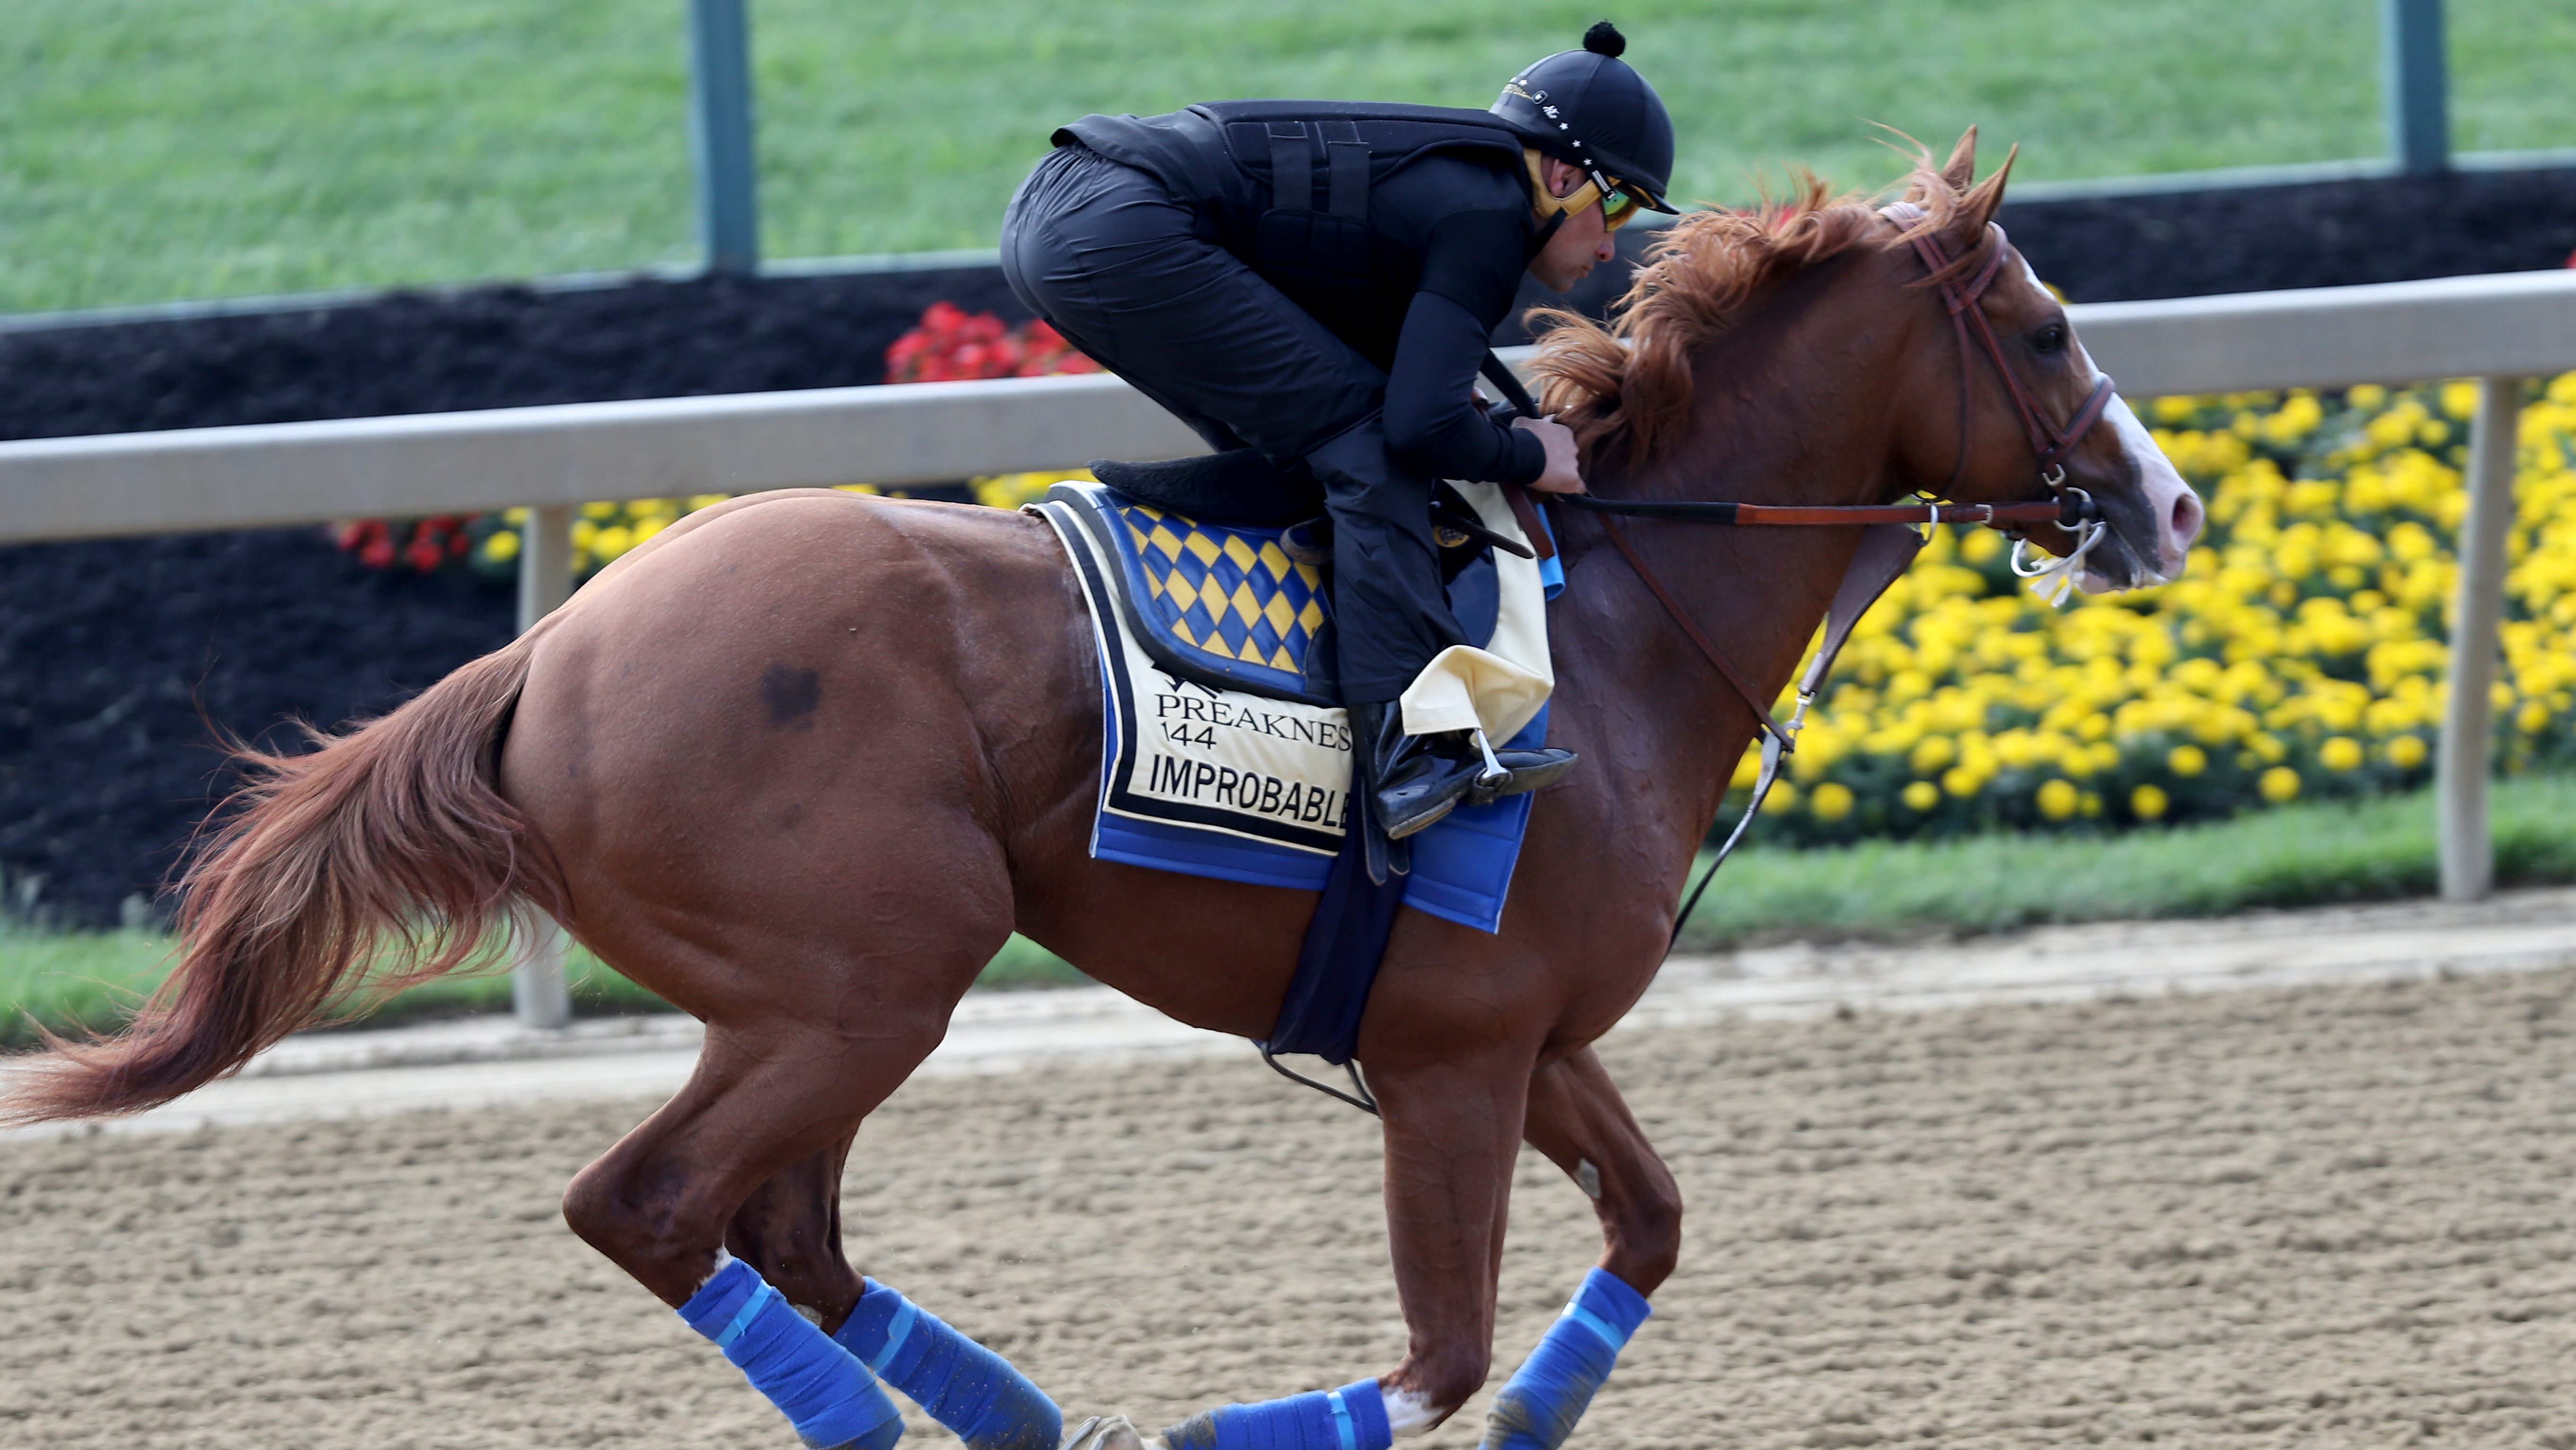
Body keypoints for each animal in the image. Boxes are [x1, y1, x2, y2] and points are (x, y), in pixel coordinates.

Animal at [10, 133, 2205, 1442]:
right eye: (2042, 325)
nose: (2168, 505)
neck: (1613, 620)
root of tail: (546, 650)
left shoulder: (1518, 1031)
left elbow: (1642, 1234)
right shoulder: (1448, 1058)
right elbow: (1431, 1354)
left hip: (804, 1001)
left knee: (775, 1227)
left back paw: (1005, 1412)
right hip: (868, 982)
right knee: (648, 1203)